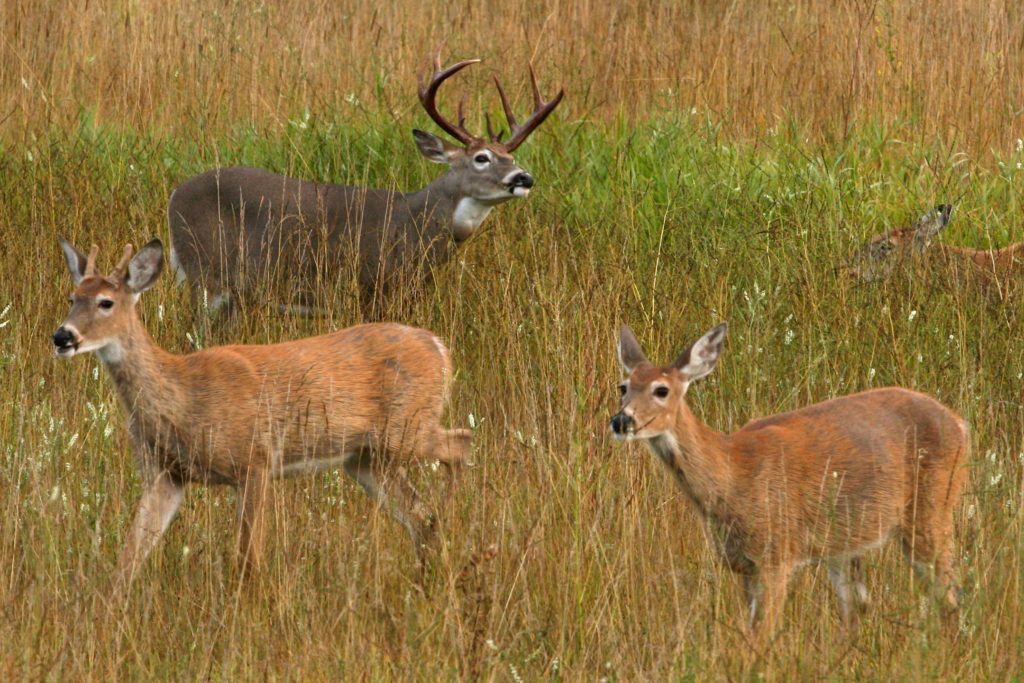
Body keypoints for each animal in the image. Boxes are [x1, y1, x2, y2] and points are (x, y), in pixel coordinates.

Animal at [54, 239, 468, 593]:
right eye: (73, 297)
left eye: (106, 302)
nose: (63, 336)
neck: (184, 397)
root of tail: (440, 348)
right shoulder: (165, 474)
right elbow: (130, 555)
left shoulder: (254, 460)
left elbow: (247, 559)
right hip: (366, 459)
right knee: (419, 514)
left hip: (406, 430)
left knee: (461, 444)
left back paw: (450, 522)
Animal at [169, 52, 569, 313]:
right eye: (481, 158)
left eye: (511, 158)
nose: (524, 178)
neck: (416, 222)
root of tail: (174, 196)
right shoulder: (373, 284)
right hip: (207, 275)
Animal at [610, 323, 970, 638]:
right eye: (623, 387)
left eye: (661, 390)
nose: (621, 420)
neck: (731, 474)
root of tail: (960, 423)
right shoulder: (745, 565)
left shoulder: (777, 554)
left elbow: (761, 637)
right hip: (844, 547)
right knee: (855, 613)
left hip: (932, 509)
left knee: (950, 600)